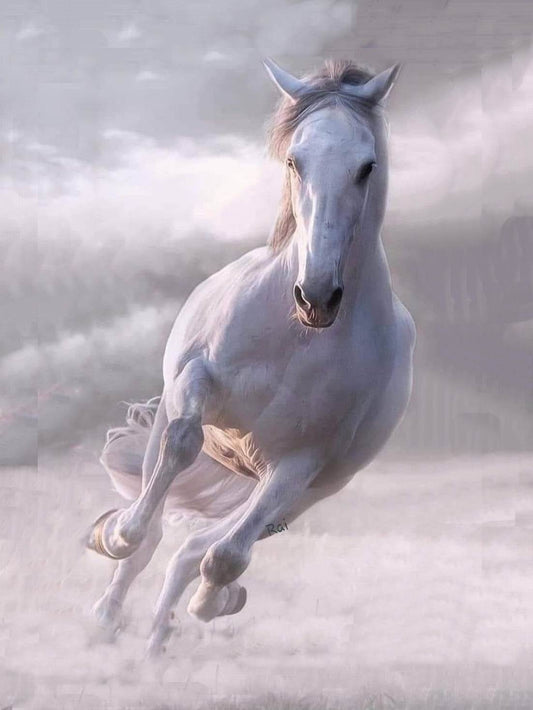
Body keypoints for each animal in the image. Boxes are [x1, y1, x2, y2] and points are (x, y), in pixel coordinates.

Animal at [87, 57, 416, 657]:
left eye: (366, 166)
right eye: (294, 160)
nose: (316, 297)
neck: (296, 339)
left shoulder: (301, 465)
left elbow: (223, 558)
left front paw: (215, 601)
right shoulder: (194, 384)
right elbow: (180, 449)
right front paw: (114, 533)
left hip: (299, 493)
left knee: (197, 554)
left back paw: (162, 643)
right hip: (177, 421)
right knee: (157, 528)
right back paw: (107, 612)